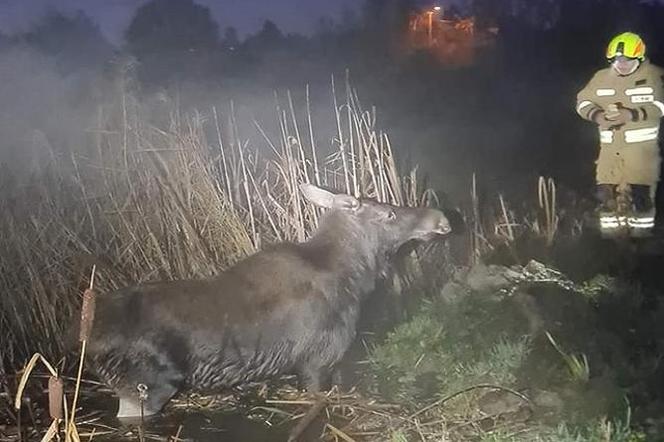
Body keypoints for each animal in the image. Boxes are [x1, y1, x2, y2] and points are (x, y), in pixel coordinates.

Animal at [87, 183, 452, 418]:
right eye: (389, 213)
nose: (441, 218)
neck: (356, 278)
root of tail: (87, 334)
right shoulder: (317, 360)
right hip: (148, 386)